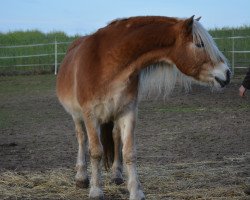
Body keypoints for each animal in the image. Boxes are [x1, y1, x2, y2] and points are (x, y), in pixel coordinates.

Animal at [56, 14, 230, 199]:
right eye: (200, 44)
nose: (227, 73)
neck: (106, 63)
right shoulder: (91, 115)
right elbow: (96, 152)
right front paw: (96, 190)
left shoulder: (128, 112)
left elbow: (129, 152)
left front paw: (136, 191)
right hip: (77, 115)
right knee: (82, 139)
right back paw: (81, 177)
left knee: (115, 137)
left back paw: (116, 175)